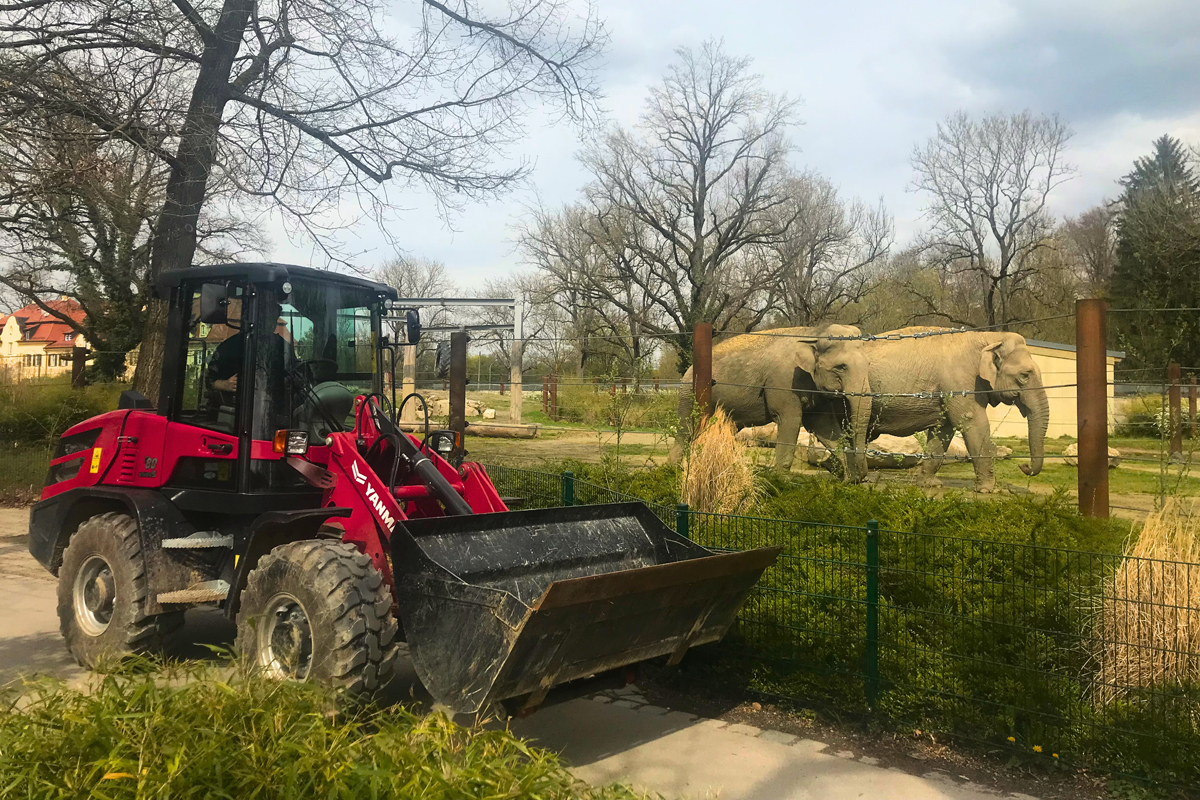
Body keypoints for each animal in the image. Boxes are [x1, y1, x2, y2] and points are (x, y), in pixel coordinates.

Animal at [667, 323, 873, 479]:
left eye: (869, 364)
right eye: (841, 367)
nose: (859, 476)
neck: (813, 333)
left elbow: (824, 426)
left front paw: (848, 477)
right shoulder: (783, 382)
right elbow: (790, 419)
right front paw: (782, 479)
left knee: (727, 430)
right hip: (689, 393)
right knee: (688, 430)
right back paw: (673, 469)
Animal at [859, 328, 1046, 491]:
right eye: (1025, 375)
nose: (1023, 465)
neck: (990, 336)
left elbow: (943, 430)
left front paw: (931, 485)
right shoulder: (960, 382)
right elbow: (974, 423)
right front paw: (988, 489)